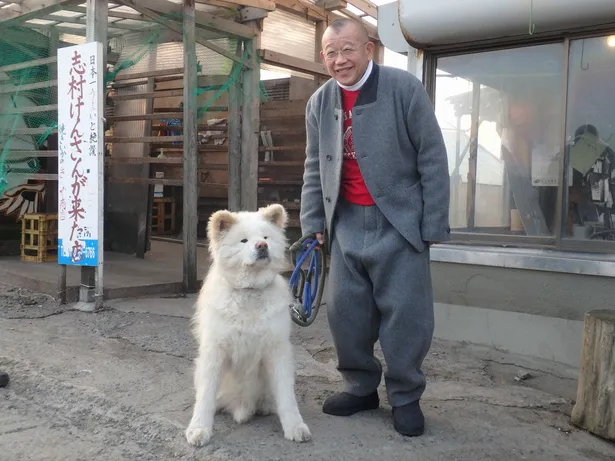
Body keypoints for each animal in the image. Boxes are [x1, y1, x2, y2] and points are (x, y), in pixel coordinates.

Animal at [184, 202, 312, 446]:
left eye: (265, 237)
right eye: (244, 240)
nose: (262, 245)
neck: (250, 292)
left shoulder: (277, 351)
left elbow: (286, 396)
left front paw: (295, 427)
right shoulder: (215, 351)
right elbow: (205, 395)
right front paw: (199, 428)